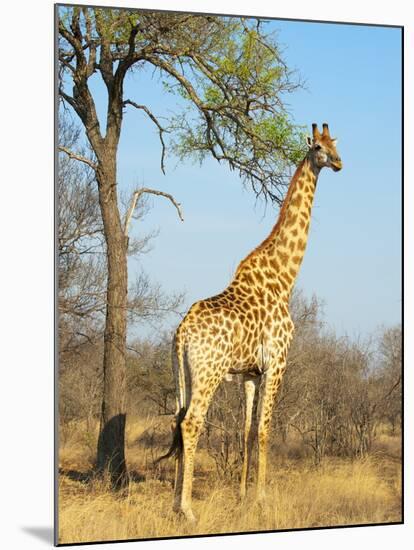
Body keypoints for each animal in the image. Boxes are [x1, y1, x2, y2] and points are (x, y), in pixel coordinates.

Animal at [160, 123, 342, 524]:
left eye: (337, 144)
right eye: (318, 148)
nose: (338, 163)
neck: (284, 278)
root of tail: (181, 333)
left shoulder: (249, 374)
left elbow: (244, 430)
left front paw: (242, 497)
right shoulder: (277, 363)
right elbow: (264, 429)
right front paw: (262, 499)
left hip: (184, 374)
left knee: (177, 419)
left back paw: (173, 504)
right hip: (208, 372)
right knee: (191, 423)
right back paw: (188, 509)